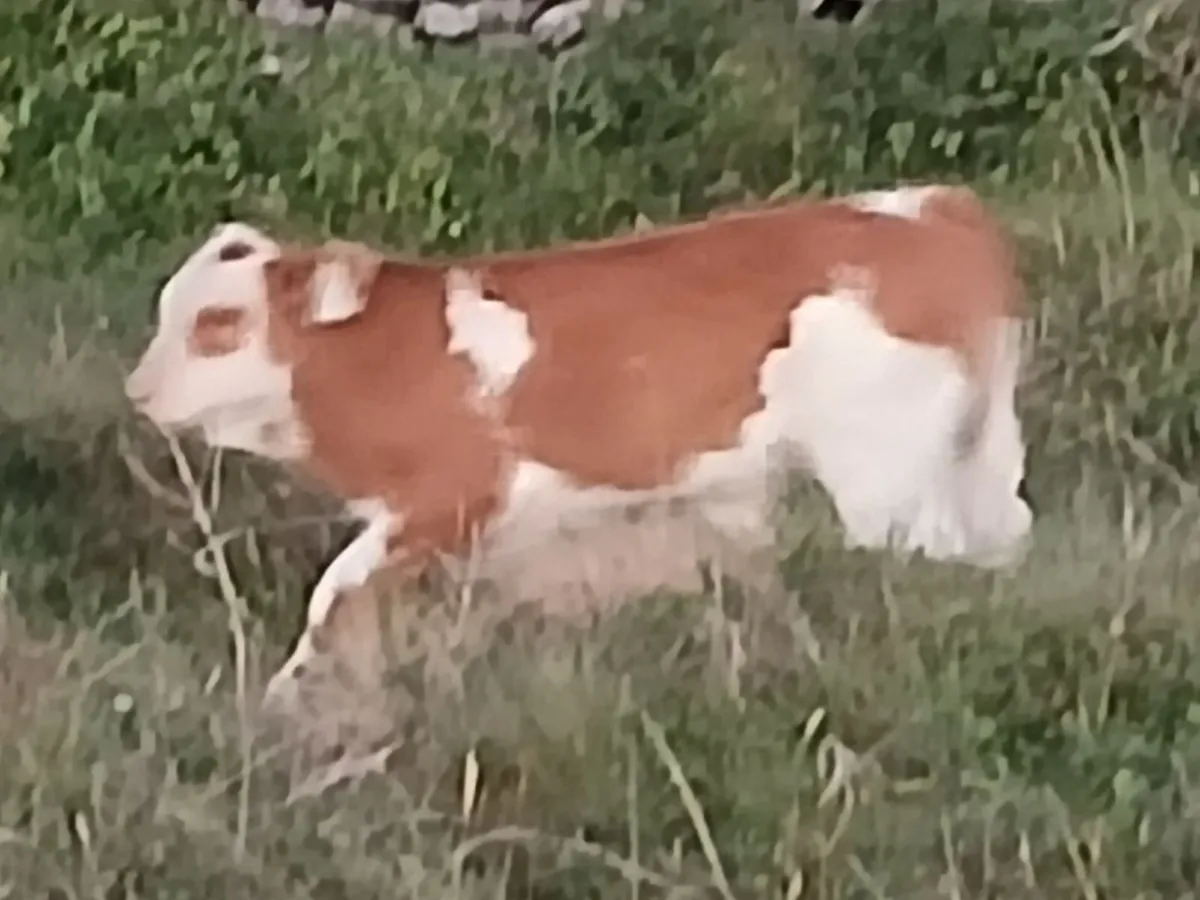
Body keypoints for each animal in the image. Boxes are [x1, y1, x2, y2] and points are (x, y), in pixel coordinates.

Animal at [124, 184, 1033, 706]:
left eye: (220, 323)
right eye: (165, 311)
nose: (138, 388)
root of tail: (939, 204)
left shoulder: (453, 496)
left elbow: (332, 592)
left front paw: (281, 702)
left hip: (888, 480)